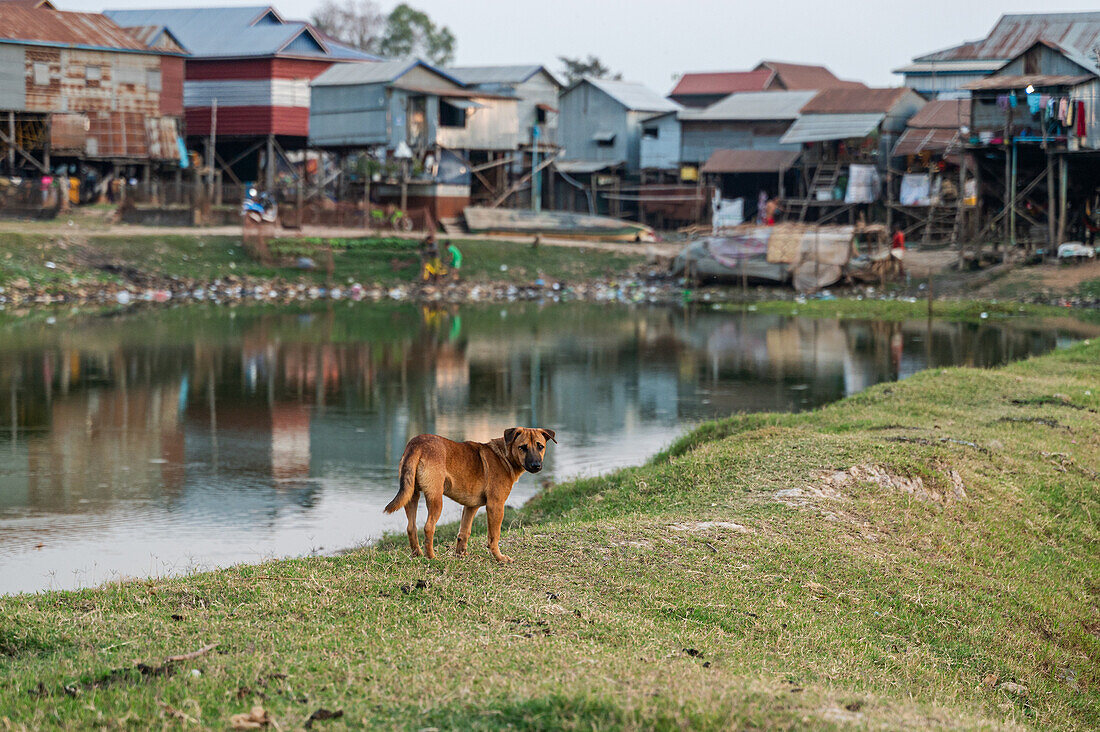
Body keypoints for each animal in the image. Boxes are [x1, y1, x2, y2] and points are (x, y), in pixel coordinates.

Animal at [389, 424, 558, 561]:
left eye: (540, 446)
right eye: (522, 447)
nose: (536, 465)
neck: (504, 456)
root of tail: (417, 443)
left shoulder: (471, 506)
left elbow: (464, 532)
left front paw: (461, 554)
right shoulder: (495, 505)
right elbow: (494, 536)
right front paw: (499, 557)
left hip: (411, 495)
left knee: (411, 528)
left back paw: (417, 554)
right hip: (435, 498)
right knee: (428, 527)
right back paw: (431, 557)